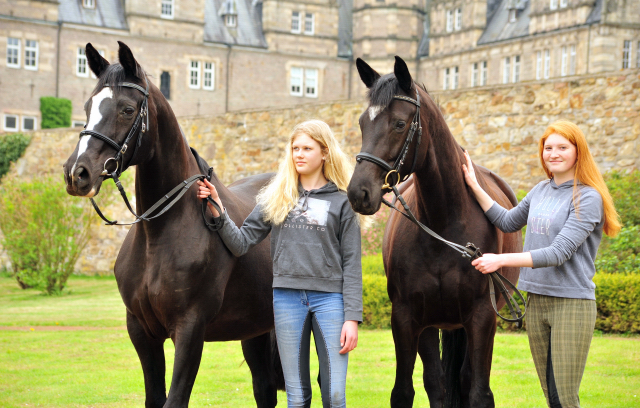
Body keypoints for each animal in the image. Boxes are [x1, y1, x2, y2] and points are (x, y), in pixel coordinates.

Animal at [62, 42, 282, 408]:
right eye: (88, 106)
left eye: (126, 109)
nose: (77, 173)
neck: (160, 234)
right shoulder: (141, 330)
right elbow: (155, 397)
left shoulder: (190, 330)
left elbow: (174, 399)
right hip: (256, 330)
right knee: (264, 389)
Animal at [348, 57, 524, 408]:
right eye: (362, 123)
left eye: (399, 123)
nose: (359, 192)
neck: (445, 225)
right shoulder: (407, 317)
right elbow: (407, 391)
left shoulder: (482, 317)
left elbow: (478, 392)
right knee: (437, 383)